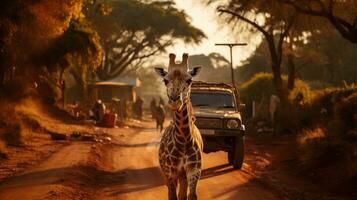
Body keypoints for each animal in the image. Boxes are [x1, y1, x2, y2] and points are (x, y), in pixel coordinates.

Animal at [154, 52, 202, 199]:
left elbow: (191, 195)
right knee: (171, 192)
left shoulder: (194, 169)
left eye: (189, 80)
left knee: (182, 193)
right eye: (165, 80)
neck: (184, 140)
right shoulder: (171, 170)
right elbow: (173, 196)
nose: (175, 101)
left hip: (183, 174)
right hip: (169, 172)